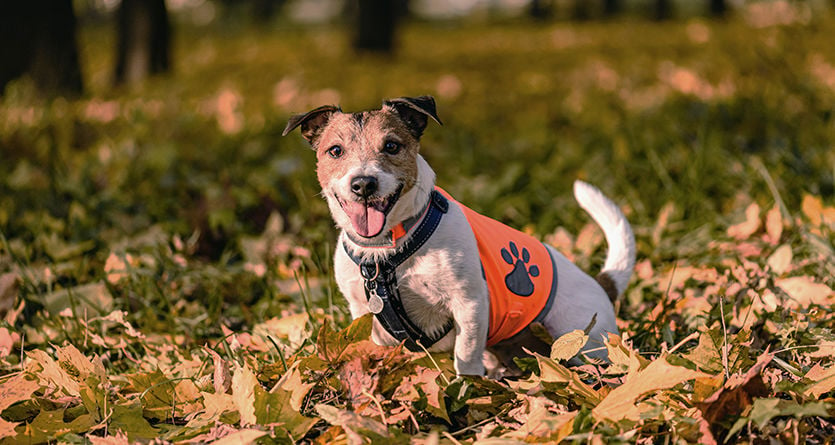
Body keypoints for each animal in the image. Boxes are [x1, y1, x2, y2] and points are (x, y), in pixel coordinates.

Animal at [284, 96, 636, 374]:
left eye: (392, 146)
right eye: (335, 151)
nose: (363, 184)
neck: (387, 250)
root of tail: (602, 284)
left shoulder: (469, 304)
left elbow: (465, 355)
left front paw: (468, 389)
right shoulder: (364, 314)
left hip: (580, 338)